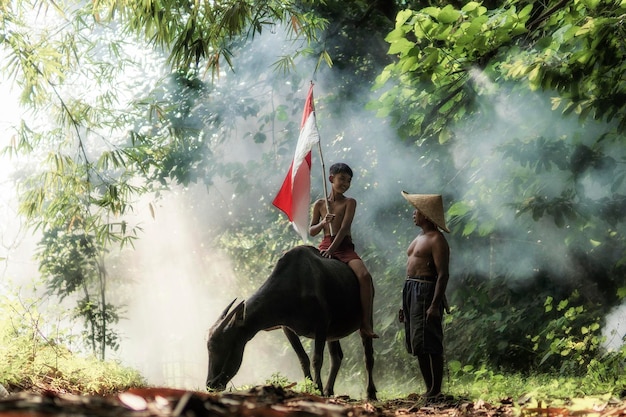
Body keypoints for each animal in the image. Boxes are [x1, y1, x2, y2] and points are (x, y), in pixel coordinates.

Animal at [207, 244, 376, 400]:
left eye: (216, 346)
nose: (210, 384)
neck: (294, 285)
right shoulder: (288, 328)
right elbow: (303, 359)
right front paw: (310, 388)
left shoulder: (321, 325)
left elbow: (316, 359)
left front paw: (318, 389)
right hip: (333, 333)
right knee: (337, 357)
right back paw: (329, 390)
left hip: (366, 320)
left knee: (368, 357)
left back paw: (371, 393)